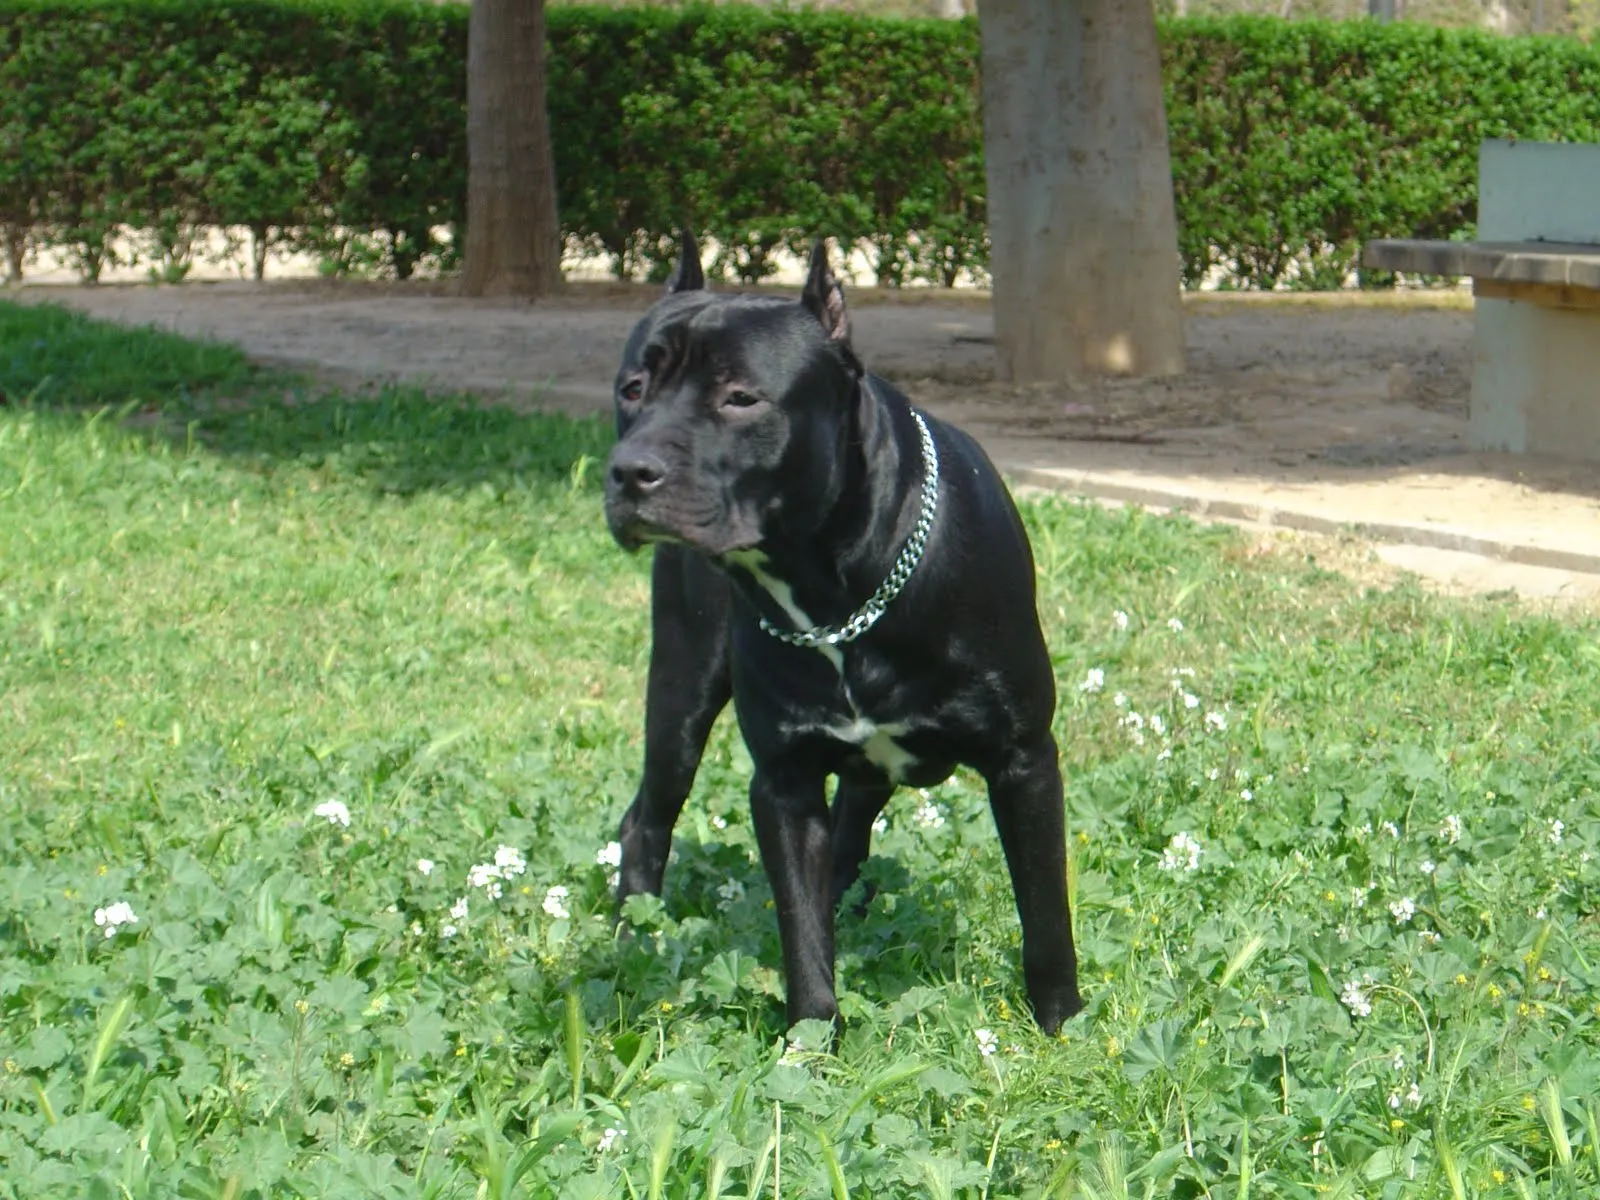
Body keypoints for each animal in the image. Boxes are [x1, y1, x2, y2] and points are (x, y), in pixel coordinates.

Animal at [604, 235, 1081, 1036]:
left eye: (740, 397)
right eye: (632, 389)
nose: (630, 470)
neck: (840, 592)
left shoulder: (1024, 760)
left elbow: (1046, 914)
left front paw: (1062, 1027)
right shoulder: (785, 782)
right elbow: (802, 932)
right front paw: (810, 1040)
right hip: (680, 684)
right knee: (648, 816)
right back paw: (632, 935)